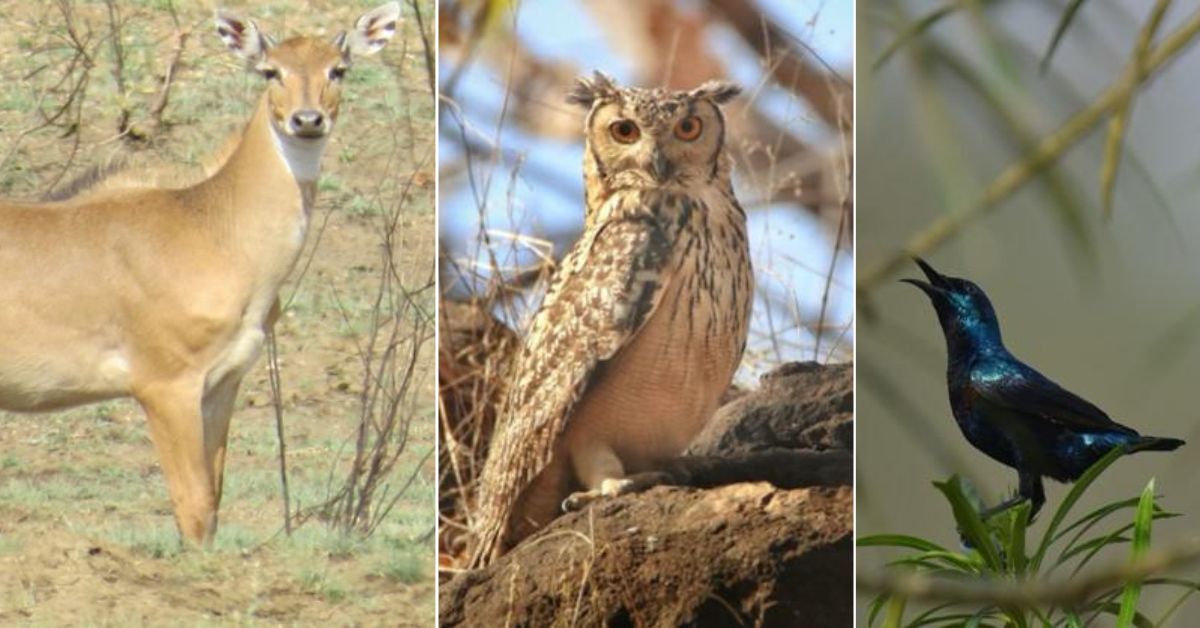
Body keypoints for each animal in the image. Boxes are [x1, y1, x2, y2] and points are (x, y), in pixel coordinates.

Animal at [0, 2, 403, 542]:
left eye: (338, 69)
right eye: (270, 70)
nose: (307, 119)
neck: (213, 232)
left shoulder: (221, 384)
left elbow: (212, 505)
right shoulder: (166, 384)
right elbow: (191, 507)